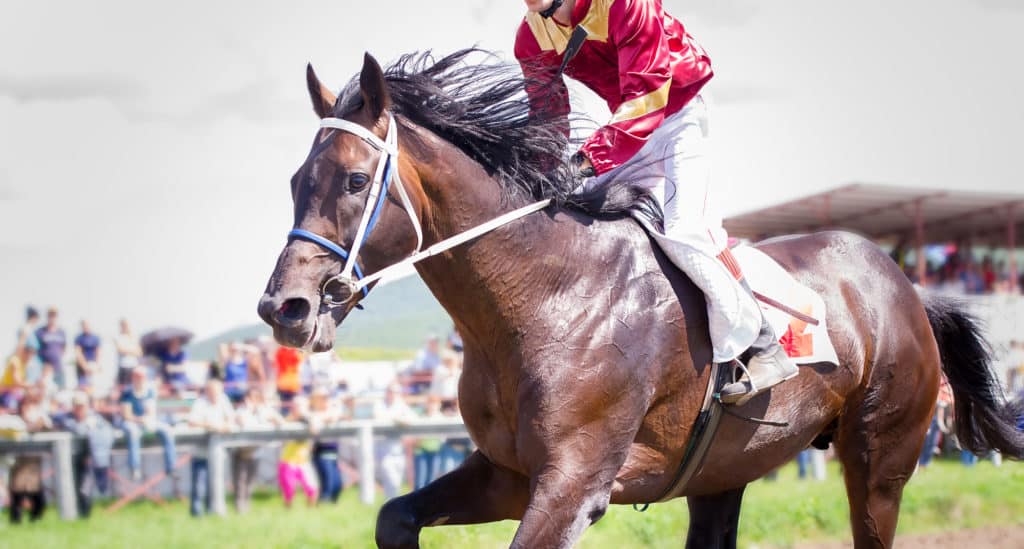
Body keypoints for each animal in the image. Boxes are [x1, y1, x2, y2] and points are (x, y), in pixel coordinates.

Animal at [258, 49, 1024, 544]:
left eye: (356, 180)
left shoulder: (574, 483)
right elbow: (394, 517)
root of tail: (906, 285)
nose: (284, 308)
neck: (543, 296)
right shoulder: (509, 472)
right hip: (725, 470)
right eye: (295, 179)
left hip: (881, 460)